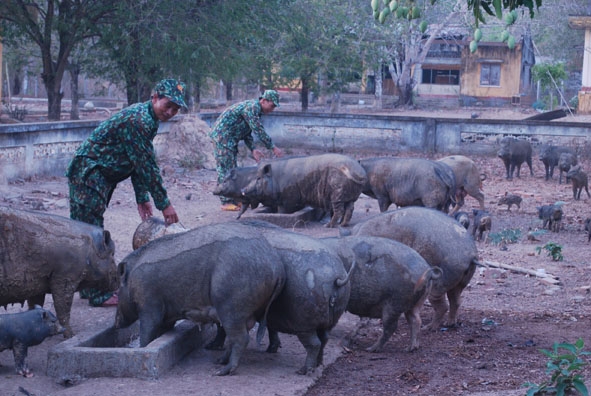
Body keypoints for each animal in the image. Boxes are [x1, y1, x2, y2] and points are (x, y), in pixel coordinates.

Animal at [0, 206, 118, 338]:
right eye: (112, 254)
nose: (119, 276)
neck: (89, 251)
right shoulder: (65, 276)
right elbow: (62, 306)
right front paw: (71, 335)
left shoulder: (36, 283)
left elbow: (35, 304)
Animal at [114, 221, 286, 376]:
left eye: (117, 291)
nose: (116, 324)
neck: (131, 279)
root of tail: (276, 266)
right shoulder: (166, 314)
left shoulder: (149, 305)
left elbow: (147, 333)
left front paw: (141, 347)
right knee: (236, 336)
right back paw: (218, 361)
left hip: (231, 305)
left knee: (241, 338)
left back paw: (221, 371)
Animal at [346, 207, 480, 332]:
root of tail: (471, 254)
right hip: (461, 281)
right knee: (456, 300)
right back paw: (449, 324)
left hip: (441, 280)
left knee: (443, 305)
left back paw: (429, 328)